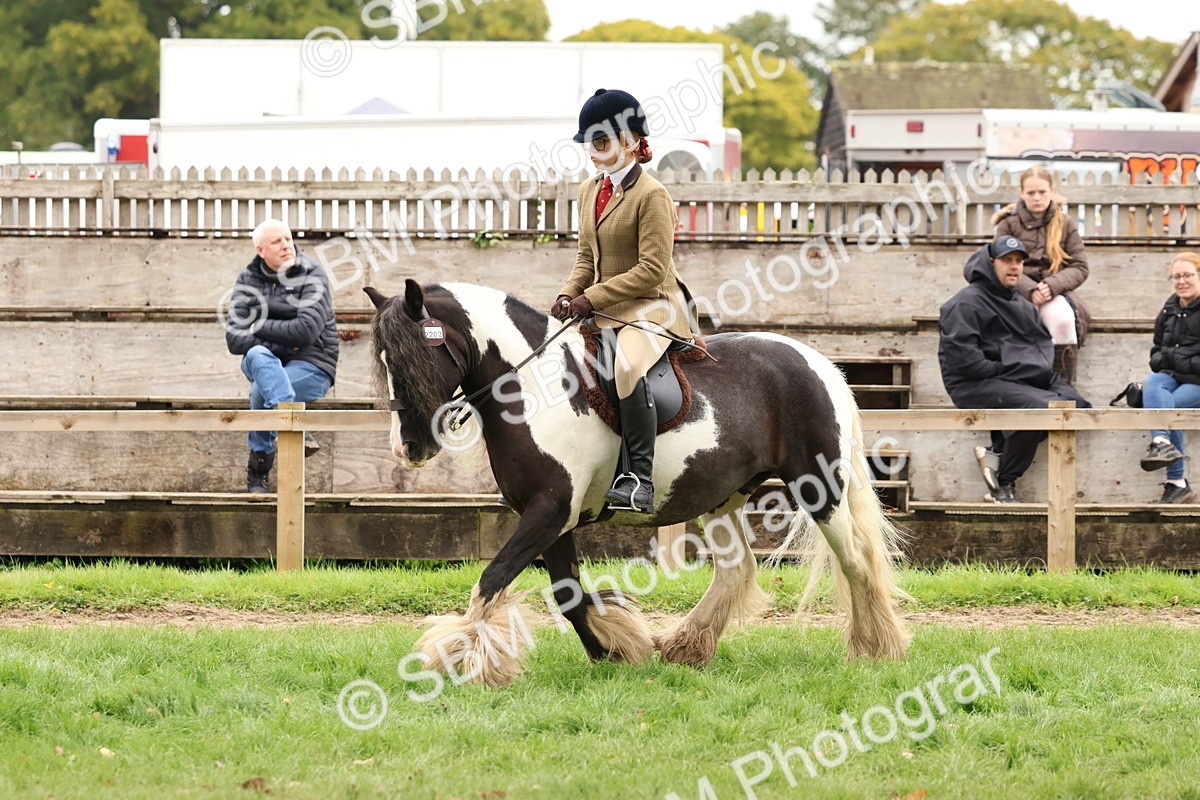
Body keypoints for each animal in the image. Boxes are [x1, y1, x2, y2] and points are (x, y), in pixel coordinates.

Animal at [366, 279, 908, 687]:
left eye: (417, 356)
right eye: (386, 362)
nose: (407, 448)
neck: (536, 387)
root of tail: (820, 364)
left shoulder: (549, 511)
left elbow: (492, 580)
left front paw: (459, 660)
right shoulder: (552, 517)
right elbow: (567, 594)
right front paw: (615, 650)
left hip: (819, 486)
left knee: (856, 560)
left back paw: (875, 648)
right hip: (722, 497)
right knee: (737, 569)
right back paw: (685, 647)